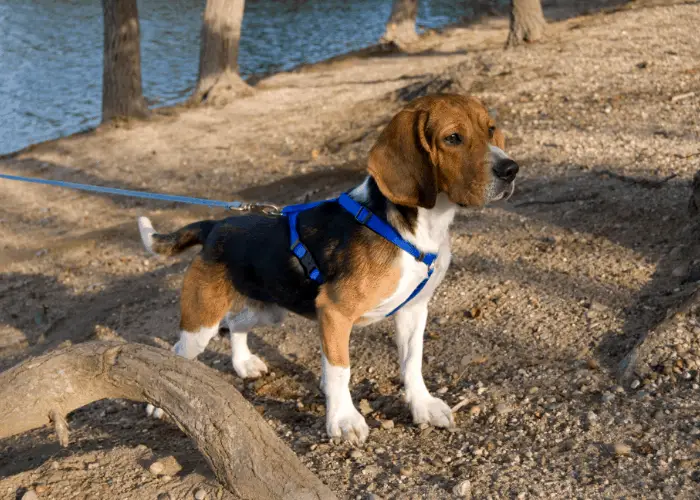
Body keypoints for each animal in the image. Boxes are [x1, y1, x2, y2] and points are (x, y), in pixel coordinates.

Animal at [138, 93, 520, 442]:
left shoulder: (413, 309)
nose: (511, 169)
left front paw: (422, 405)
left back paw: (244, 363)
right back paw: (159, 403)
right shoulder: (334, 313)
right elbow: (340, 371)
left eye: (490, 129)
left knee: (235, 326)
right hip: (201, 322)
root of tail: (216, 225)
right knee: (178, 353)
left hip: (265, 310)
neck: (414, 226)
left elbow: (412, 362)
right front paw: (343, 420)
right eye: (453, 138)